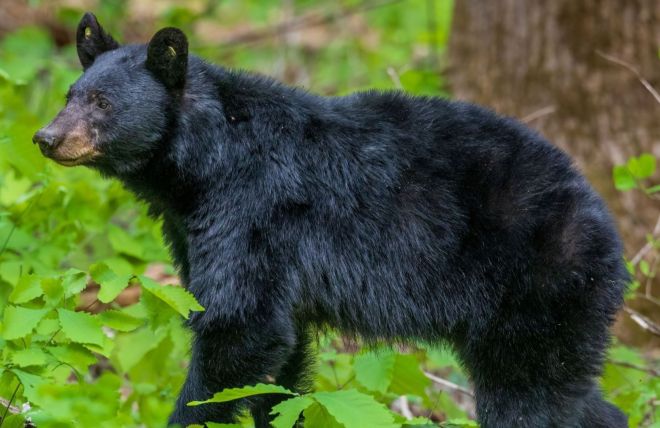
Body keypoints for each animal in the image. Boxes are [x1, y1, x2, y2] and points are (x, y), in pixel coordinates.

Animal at [33, 12, 629, 428]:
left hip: (538, 285)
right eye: (69, 94)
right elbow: (279, 363)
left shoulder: (251, 213)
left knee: (528, 396)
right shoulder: (197, 230)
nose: (46, 137)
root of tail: (601, 215)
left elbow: (240, 325)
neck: (205, 161)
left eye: (103, 102)